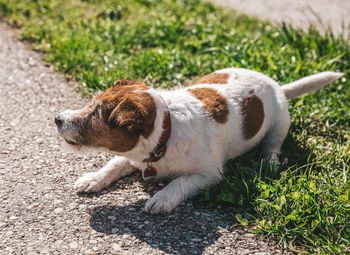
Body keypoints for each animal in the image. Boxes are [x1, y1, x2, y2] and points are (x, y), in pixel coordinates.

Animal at [54, 67, 342, 213]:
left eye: (95, 114)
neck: (166, 132)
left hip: (281, 122)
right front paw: (93, 178)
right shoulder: (134, 155)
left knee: (274, 144)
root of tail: (276, 84)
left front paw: (162, 198)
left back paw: (269, 161)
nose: (57, 118)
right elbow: (114, 164)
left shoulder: (209, 174)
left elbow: (180, 182)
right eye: (91, 104)